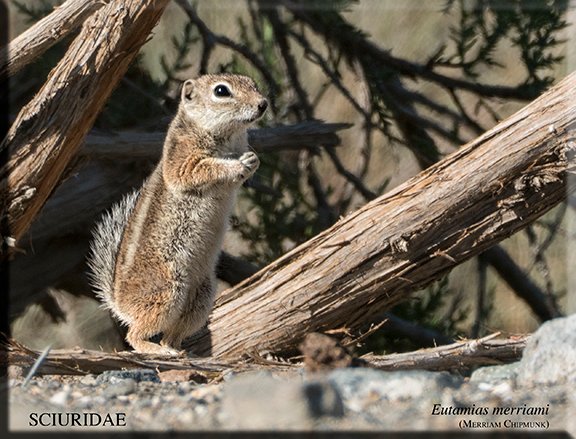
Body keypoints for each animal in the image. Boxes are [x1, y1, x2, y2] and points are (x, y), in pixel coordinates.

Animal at [88, 74, 268, 356]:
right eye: (221, 91)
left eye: (253, 84)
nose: (263, 104)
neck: (229, 136)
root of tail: (119, 305)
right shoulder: (183, 160)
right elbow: (202, 170)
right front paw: (238, 163)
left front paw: (253, 159)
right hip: (166, 291)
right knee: (134, 335)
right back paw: (156, 349)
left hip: (201, 297)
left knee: (171, 335)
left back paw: (179, 350)